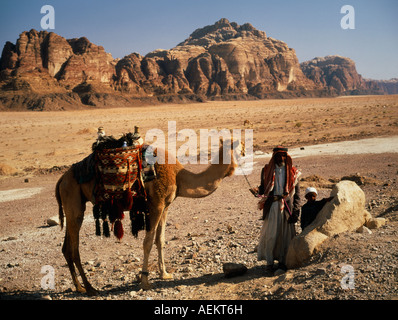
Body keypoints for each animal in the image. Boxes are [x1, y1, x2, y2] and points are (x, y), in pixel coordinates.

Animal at [55, 138, 243, 296]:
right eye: (239, 147)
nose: (244, 154)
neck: (178, 175)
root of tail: (61, 179)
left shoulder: (165, 206)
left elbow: (160, 239)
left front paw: (164, 274)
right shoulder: (156, 204)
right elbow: (148, 241)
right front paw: (145, 282)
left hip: (72, 205)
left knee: (66, 247)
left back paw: (79, 287)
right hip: (73, 199)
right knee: (74, 249)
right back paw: (90, 288)